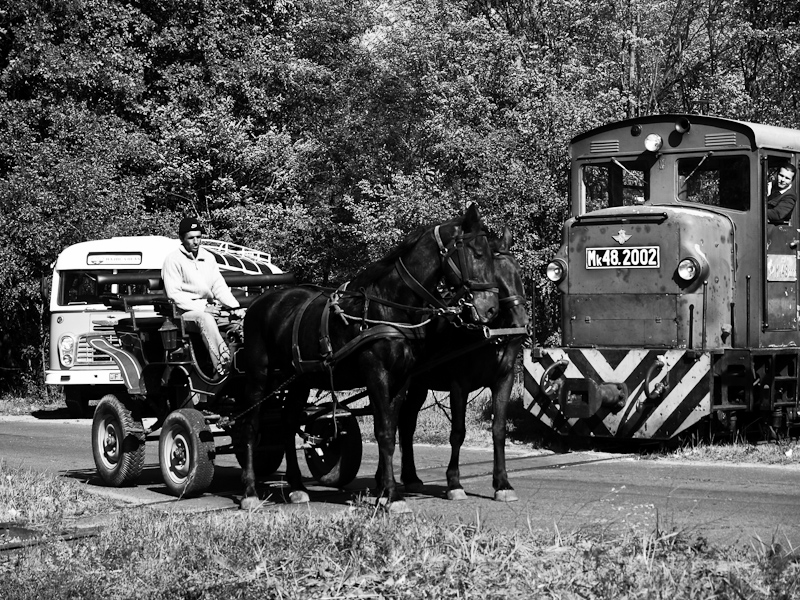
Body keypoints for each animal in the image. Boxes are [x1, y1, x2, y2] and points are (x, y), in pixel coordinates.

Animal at [241, 203, 496, 510]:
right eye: (477, 253)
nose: (491, 308)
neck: (390, 307)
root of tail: (260, 302)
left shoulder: (401, 380)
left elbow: (392, 430)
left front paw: (385, 491)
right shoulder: (376, 375)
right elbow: (384, 432)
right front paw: (393, 496)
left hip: (299, 379)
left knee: (288, 422)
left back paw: (297, 486)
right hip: (259, 374)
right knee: (251, 426)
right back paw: (250, 491)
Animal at [396, 227, 528, 504]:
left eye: (517, 272)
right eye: (495, 277)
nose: (521, 323)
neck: (489, 335)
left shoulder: (504, 380)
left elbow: (499, 430)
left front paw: (502, 483)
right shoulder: (460, 384)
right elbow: (458, 431)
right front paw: (454, 482)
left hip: (419, 385)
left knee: (407, 422)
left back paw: (411, 477)